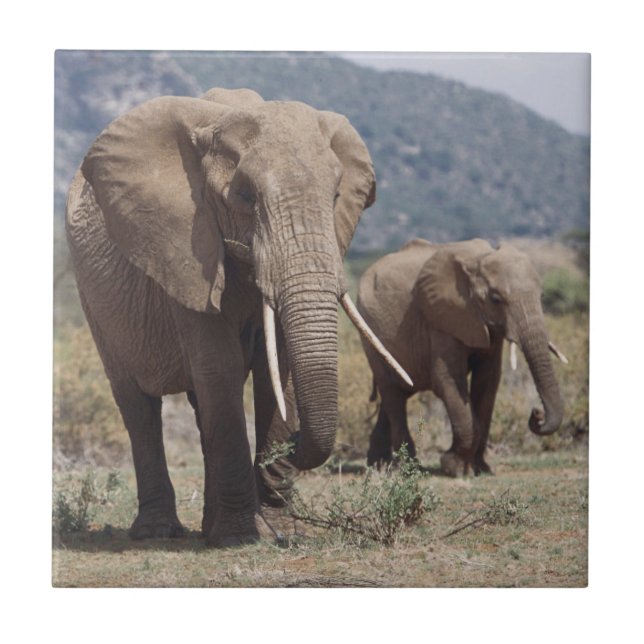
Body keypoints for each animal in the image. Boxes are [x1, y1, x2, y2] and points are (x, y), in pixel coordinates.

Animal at [65, 87, 410, 547]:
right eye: (245, 197)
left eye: (336, 197)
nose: (293, 446)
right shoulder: (186, 249)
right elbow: (221, 367)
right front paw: (239, 537)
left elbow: (275, 371)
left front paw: (279, 531)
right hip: (96, 301)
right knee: (137, 403)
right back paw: (160, 532)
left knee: (199, 403)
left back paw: (210, 526)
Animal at [356, 238, 568, 477]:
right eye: (496, 299)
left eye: (542, 296)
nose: (536, 413)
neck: (479, 259)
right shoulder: (442, 320)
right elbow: (447, 380)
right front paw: (454, 468)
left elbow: (488, 381)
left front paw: (481, 469)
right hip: (370, 334)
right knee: (392, 393)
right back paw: (408, 469)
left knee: (396, 394)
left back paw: (378, 466)